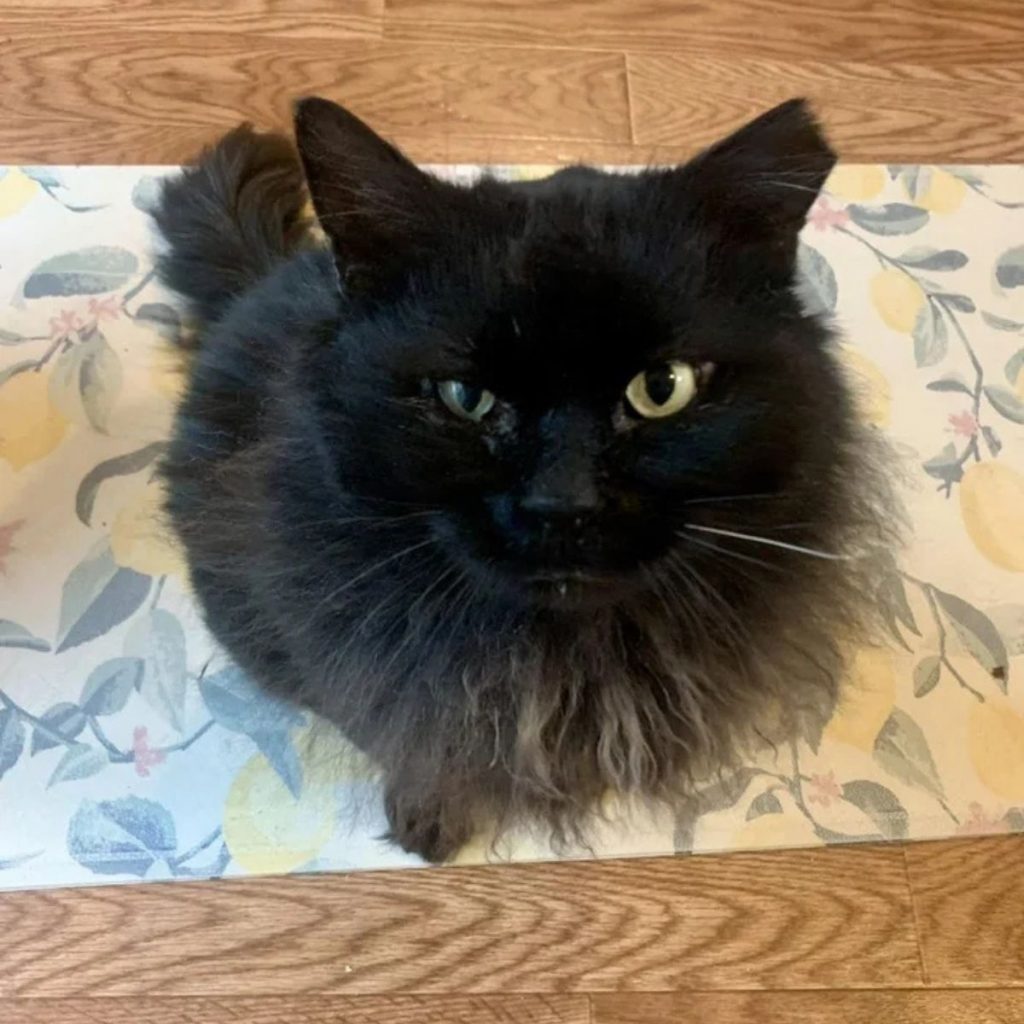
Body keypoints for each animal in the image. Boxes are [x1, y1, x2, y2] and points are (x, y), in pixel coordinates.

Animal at [151, 97, 897, 864]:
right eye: (465, 397)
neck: (568, 656)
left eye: (662, 388)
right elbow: (416, 744)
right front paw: (429, 821)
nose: (562, 504)